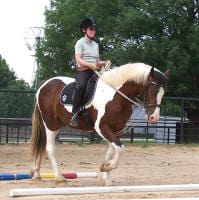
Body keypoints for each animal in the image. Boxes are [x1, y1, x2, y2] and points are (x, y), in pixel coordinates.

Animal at [30, 63, 169, 186]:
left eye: (163, 93)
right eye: (152, 90)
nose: (154, 117)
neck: (116, 95)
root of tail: (44, 84)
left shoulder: (115, 130)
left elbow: (111, 151)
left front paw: (106, 175)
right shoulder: (102, 128)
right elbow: (120, 148)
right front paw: (107, 167)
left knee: (41, 145)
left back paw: (36, 174)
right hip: (50, 124)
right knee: (50, 148)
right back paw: (59, 178)